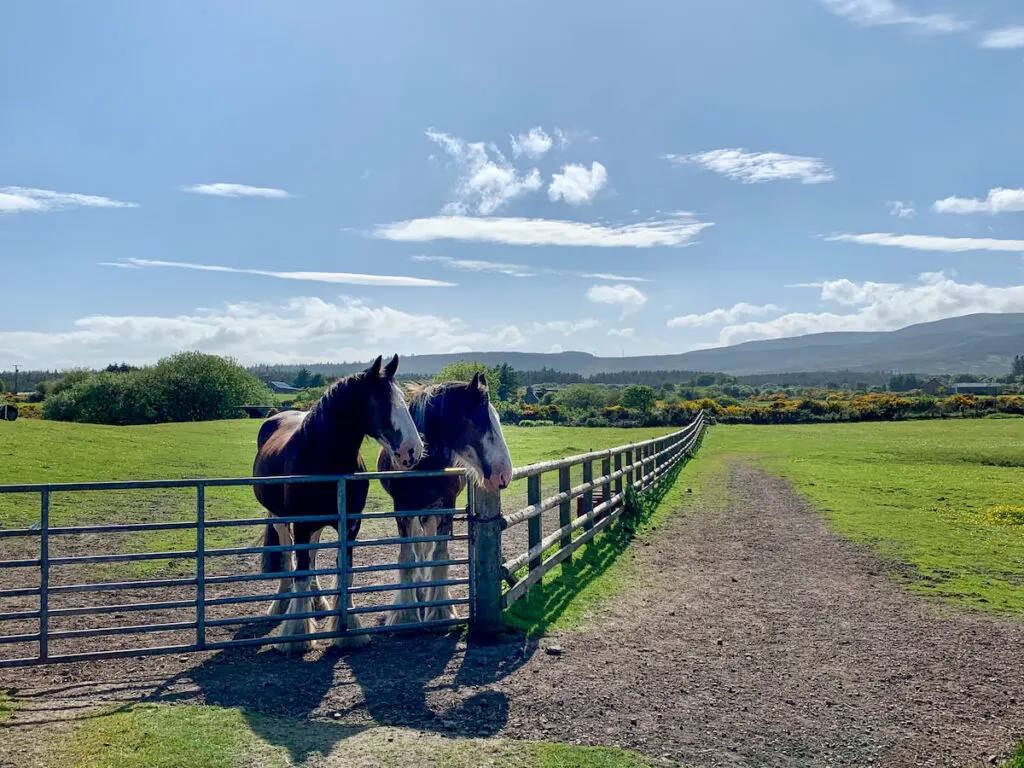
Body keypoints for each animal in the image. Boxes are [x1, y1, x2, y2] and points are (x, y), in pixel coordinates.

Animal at [253, 356, 425, 655]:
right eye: (379, 400)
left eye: (402, 398)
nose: (412, 450)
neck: (324, 459)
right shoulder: (301, 524)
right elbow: (300, 572)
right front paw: (296, 634)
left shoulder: (350, 525)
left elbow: (345, 573)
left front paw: (348, 632)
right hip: (281, 519)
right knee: (289, 556)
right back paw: (282, 602)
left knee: (311, 555)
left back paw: (316, 601)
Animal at [378, 374, 516, 630]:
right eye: (480, 420)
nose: (504, 474)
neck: (423, 465)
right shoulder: (402, 510)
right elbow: (408, 558)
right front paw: (406, 614)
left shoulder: (446, 507)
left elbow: (439, 555)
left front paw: (440, 610)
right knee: (419, 547)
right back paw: (419, 592)